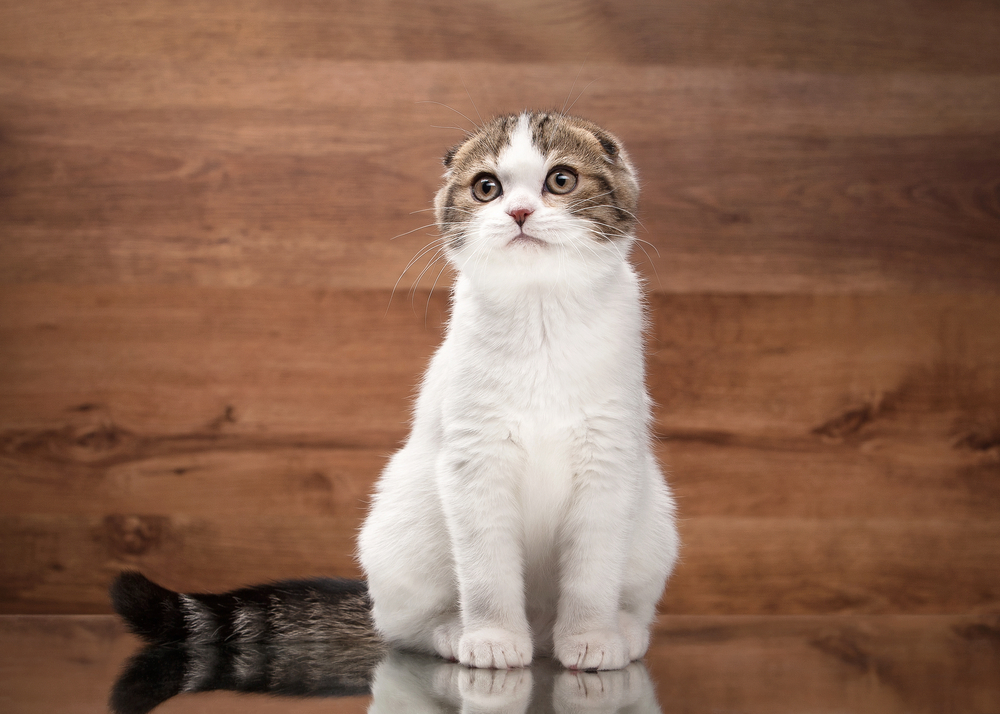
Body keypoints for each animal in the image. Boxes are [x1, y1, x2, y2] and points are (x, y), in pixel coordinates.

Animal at [111, 111, 680, 672]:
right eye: (487, 187)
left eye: (560, 180)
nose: (518, 211)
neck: (540, 312)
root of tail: (539, 629)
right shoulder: (474, 462)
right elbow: (486, 572)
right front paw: (492, 636)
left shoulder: (607, 461)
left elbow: (591, 574)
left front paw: (591, 637)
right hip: (402, 521)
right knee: (402, 627)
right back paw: (455, 632)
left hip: (654, 523)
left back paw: (623, 630)